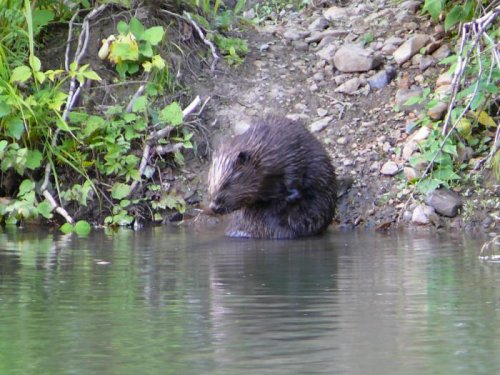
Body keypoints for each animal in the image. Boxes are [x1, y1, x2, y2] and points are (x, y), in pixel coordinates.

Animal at [207, 116, 336, 239]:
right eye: (210, 184)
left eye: (226, 183)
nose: (214, 207)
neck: (265, 149)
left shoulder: (287, 153)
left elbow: (294, 173)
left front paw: (289, 197)